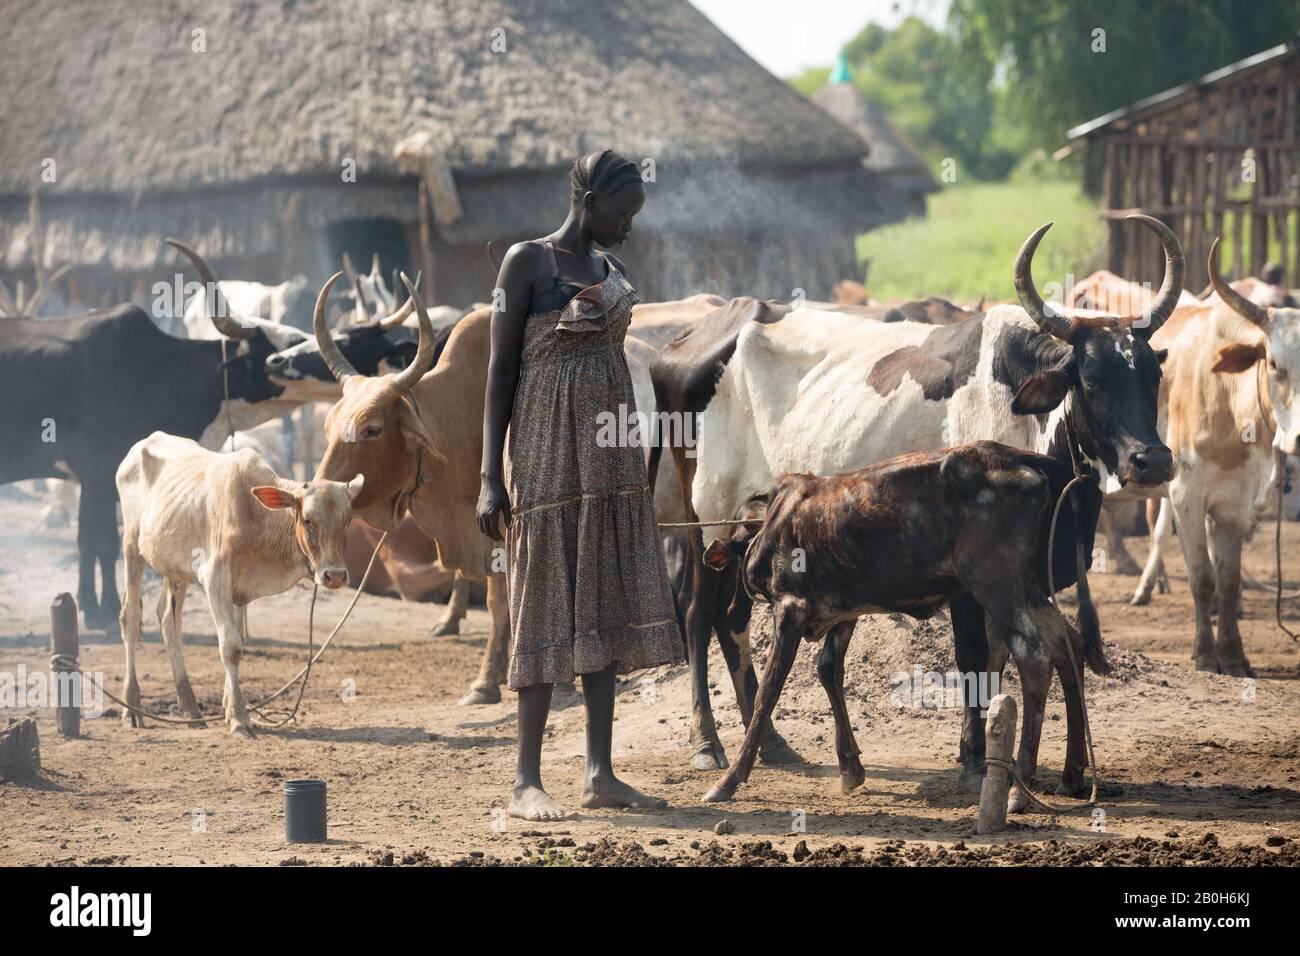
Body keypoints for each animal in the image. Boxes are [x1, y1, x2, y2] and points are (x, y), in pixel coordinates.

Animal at [0, 238, 314, 629]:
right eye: (279, 347)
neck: (152, 368)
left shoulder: (94, 480)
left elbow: (88, 541)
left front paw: (89, 605)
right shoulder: (98, 473)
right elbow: (103, 542)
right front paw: (103, 611)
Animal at [116, 429, 364, 738]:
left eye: (349, 519)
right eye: (307, 519)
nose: (336, 575)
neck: (260, 517)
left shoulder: (236, 590)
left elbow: (233, 640)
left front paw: (230, 708)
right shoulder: (215, 577)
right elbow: (231, 647)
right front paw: (238, 719)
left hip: (174, 568)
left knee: (168, 622)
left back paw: (191, 709)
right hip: (131, 548)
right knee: (130, 619)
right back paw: (131, 706)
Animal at [696, 444, 1102, 811]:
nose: (732, 606)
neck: (774, 519)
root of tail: (1028, 461)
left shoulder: (790, 610)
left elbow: (768, 692)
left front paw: (729, 780)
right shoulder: (844, 613)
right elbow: (829, 670)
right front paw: (850, 768)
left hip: (996, 585)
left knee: (1034, 656)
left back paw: (1020, 788)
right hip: (1027, 586)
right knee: (1068, 643)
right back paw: (1071, 775)